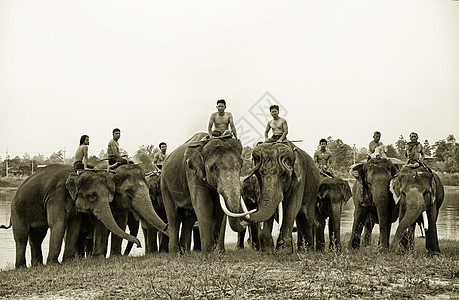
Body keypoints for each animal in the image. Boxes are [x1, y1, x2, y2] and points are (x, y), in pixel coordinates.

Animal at [4, 165, 140, 268]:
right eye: (92, 196)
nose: (139, 245)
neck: (76, 173)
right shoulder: (55, 197)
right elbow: (58, 224)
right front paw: (54, 264)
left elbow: (74, 226)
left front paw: (68, 261)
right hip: (18, 211)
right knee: (21, 236)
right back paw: (21, 267)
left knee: (37, 237)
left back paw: (37, 265)